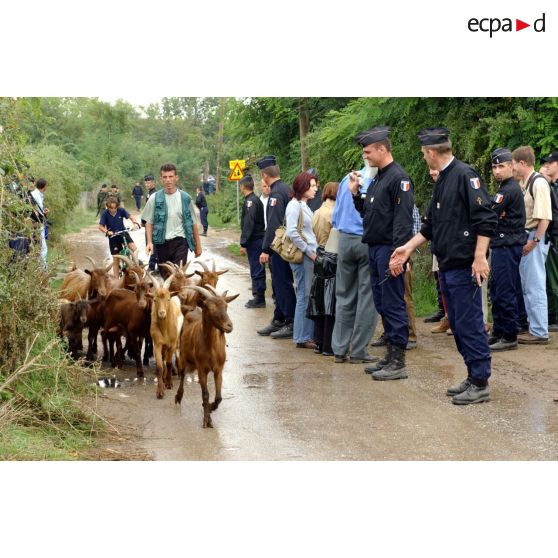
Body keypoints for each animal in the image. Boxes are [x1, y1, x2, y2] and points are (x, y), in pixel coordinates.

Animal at [176, 286, 240, 430]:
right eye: (210, 308)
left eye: (226, 305)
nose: (229, 326)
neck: (211, 348)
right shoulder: (202, 369)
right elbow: (205, 394)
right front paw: (207, 420)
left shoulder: (218, 369)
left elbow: (218, 397)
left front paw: (210, 408)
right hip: (183, 355)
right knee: (182, 373)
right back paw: (178, 397)